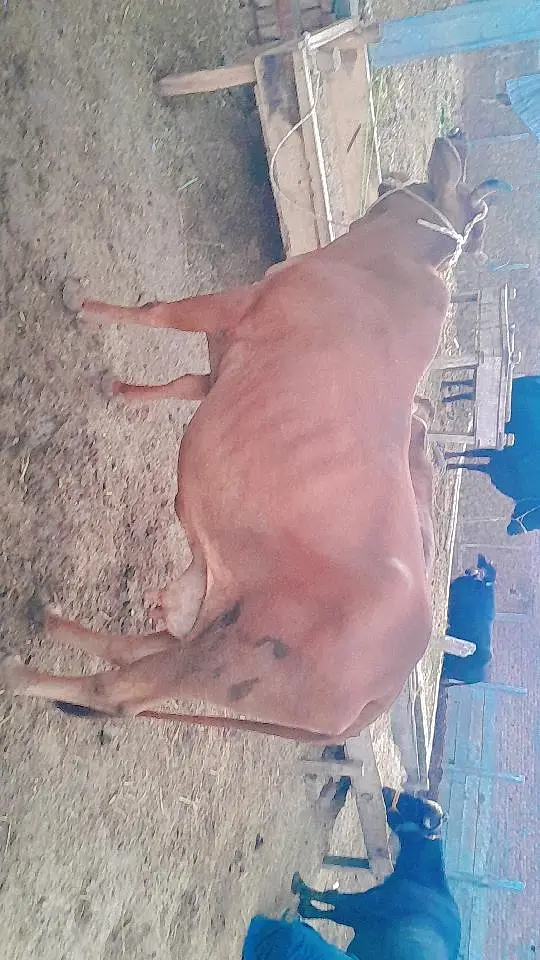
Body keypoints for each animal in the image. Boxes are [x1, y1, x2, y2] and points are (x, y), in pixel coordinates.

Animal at [242, 789, 460, 960]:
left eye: (411, 806)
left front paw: (301, 888)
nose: (386, 790)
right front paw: (304, 904)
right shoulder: (358, 916)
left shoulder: (363, 905)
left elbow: (332, 898)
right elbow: (330, 909)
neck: (425, 881)